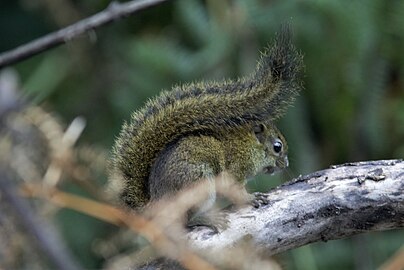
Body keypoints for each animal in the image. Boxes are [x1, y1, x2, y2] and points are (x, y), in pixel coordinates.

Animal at [110, 26, 304, 230]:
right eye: (277, 147)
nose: (286, 165)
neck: (249, 145)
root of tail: (157, 205)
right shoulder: (236, 169)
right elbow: (235, 190)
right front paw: (251, 198)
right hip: (197, 184)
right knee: (186, 220)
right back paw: (207, 219)